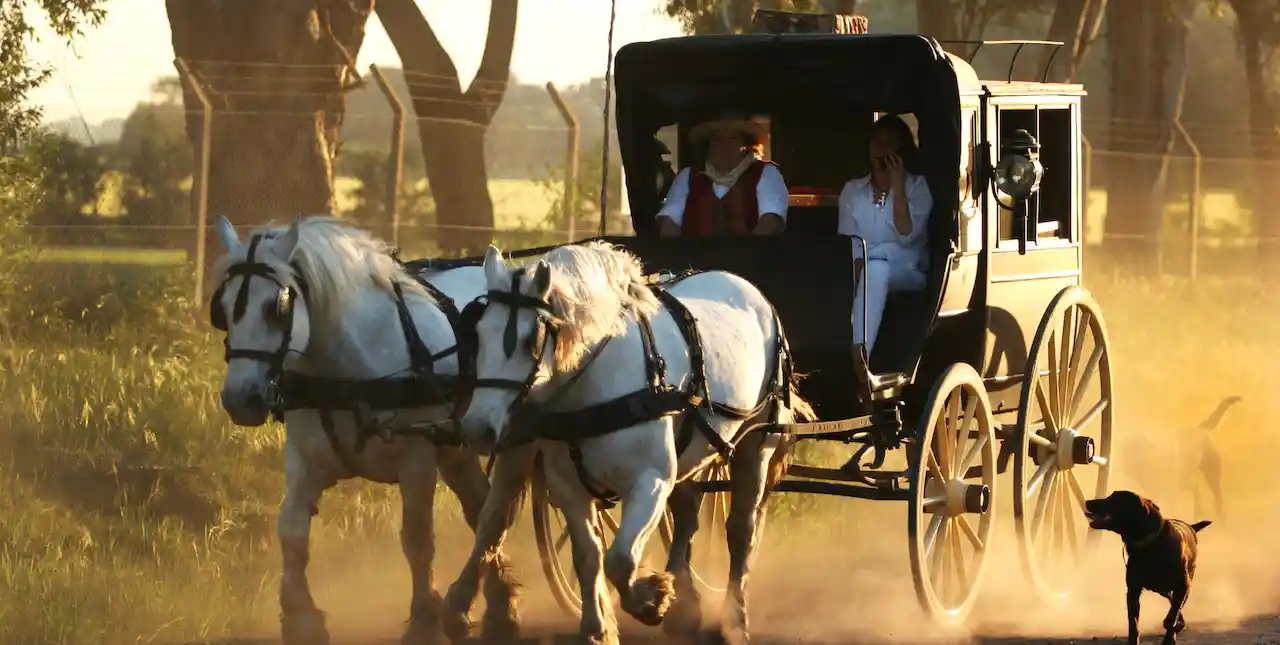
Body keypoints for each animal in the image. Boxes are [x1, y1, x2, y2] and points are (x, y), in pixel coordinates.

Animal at [212, 215, 522, 645]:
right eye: (222, 308)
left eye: (276, 306)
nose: (240, 398)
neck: (347, 373)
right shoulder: (305, 460)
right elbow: (291, 532)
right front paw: (301, 618)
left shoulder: (417, 460)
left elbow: (417, 538)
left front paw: (424, 621)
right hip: (456, 450)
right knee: (482, 512)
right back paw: (497, 607)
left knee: (494, 513)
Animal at [445, 240, 814, 645]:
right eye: (478, 334)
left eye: (531, 339)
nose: (477, 427)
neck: (598, 381)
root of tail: (750, 290)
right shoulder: (568, 486)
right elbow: (589, 554)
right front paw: (598, 628)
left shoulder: (651, 480)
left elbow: (620, 559)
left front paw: (651, 599)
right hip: (693, 451)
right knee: (687, 519)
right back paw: (686, 609)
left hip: (757, 445)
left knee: (740, 531)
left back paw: (734, 619)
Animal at [1080, 491, 1208, 642]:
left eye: (1113, 499)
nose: (1088, 502)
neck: (1150, 545)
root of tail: (1191, 527)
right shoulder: (1133, 590)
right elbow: (1133, 622)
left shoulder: (1183, 587)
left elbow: (1172, 617)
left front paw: (1169, 638)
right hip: (1163, 590)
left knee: (1176, 606)